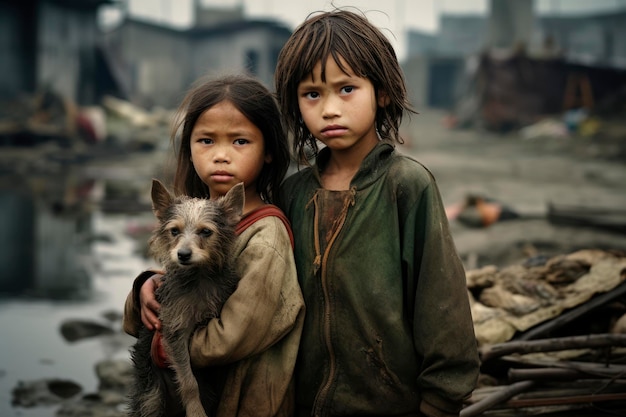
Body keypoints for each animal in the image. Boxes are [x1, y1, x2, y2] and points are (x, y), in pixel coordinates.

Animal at [128, 179, 243, 416]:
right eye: (174, 231)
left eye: (206, 231)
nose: (183, 254)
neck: (198, 277)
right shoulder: (174, 331)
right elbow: (189, 382)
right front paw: (196, 412)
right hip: (150, 395)